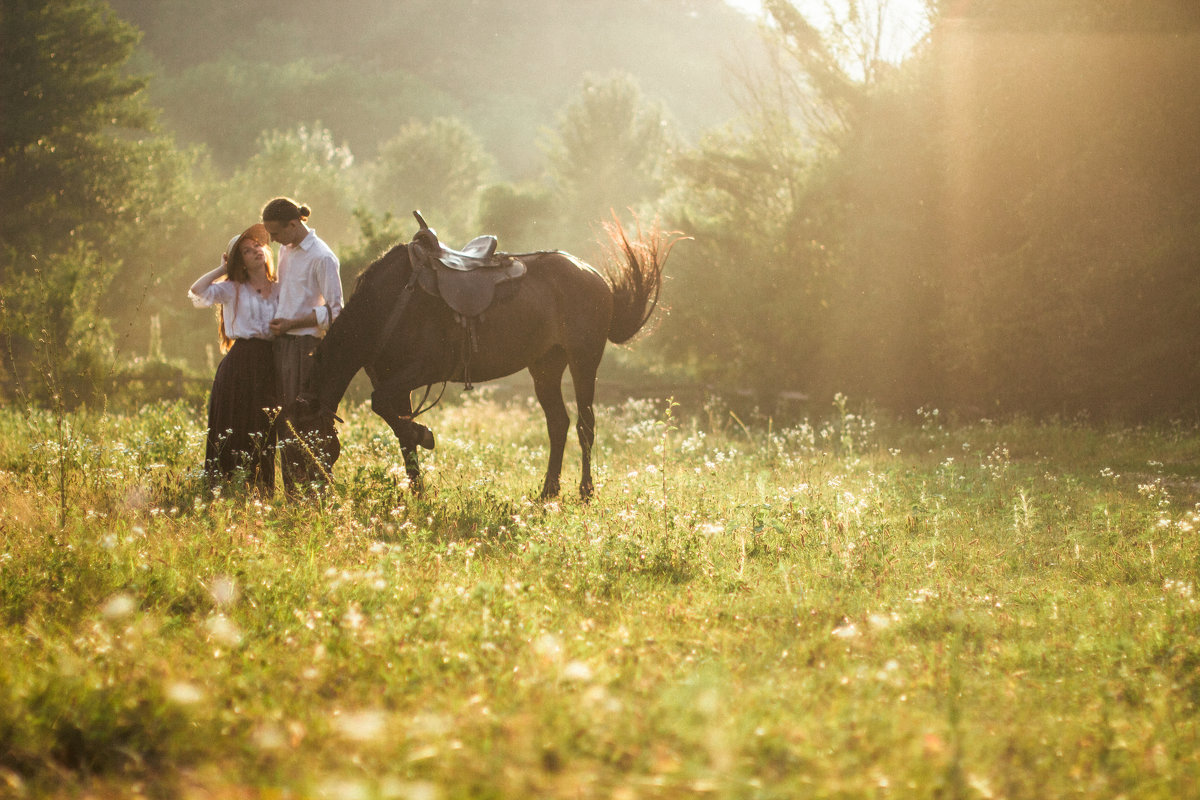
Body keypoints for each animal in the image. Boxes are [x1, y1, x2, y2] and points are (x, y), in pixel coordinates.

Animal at [279, 215, 676, 496]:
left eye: (300, 448)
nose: (301, 501)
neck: (389, 304)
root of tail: (595, 277)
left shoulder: (421, 370)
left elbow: (385, 409)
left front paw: (425, 435)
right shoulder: (395, 383)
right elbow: (400, 433)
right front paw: (419, 491)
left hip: (583, 359)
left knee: (585, 424)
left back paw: (585, 492)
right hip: (545, 366)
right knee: (558, 424)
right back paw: (547, 493)